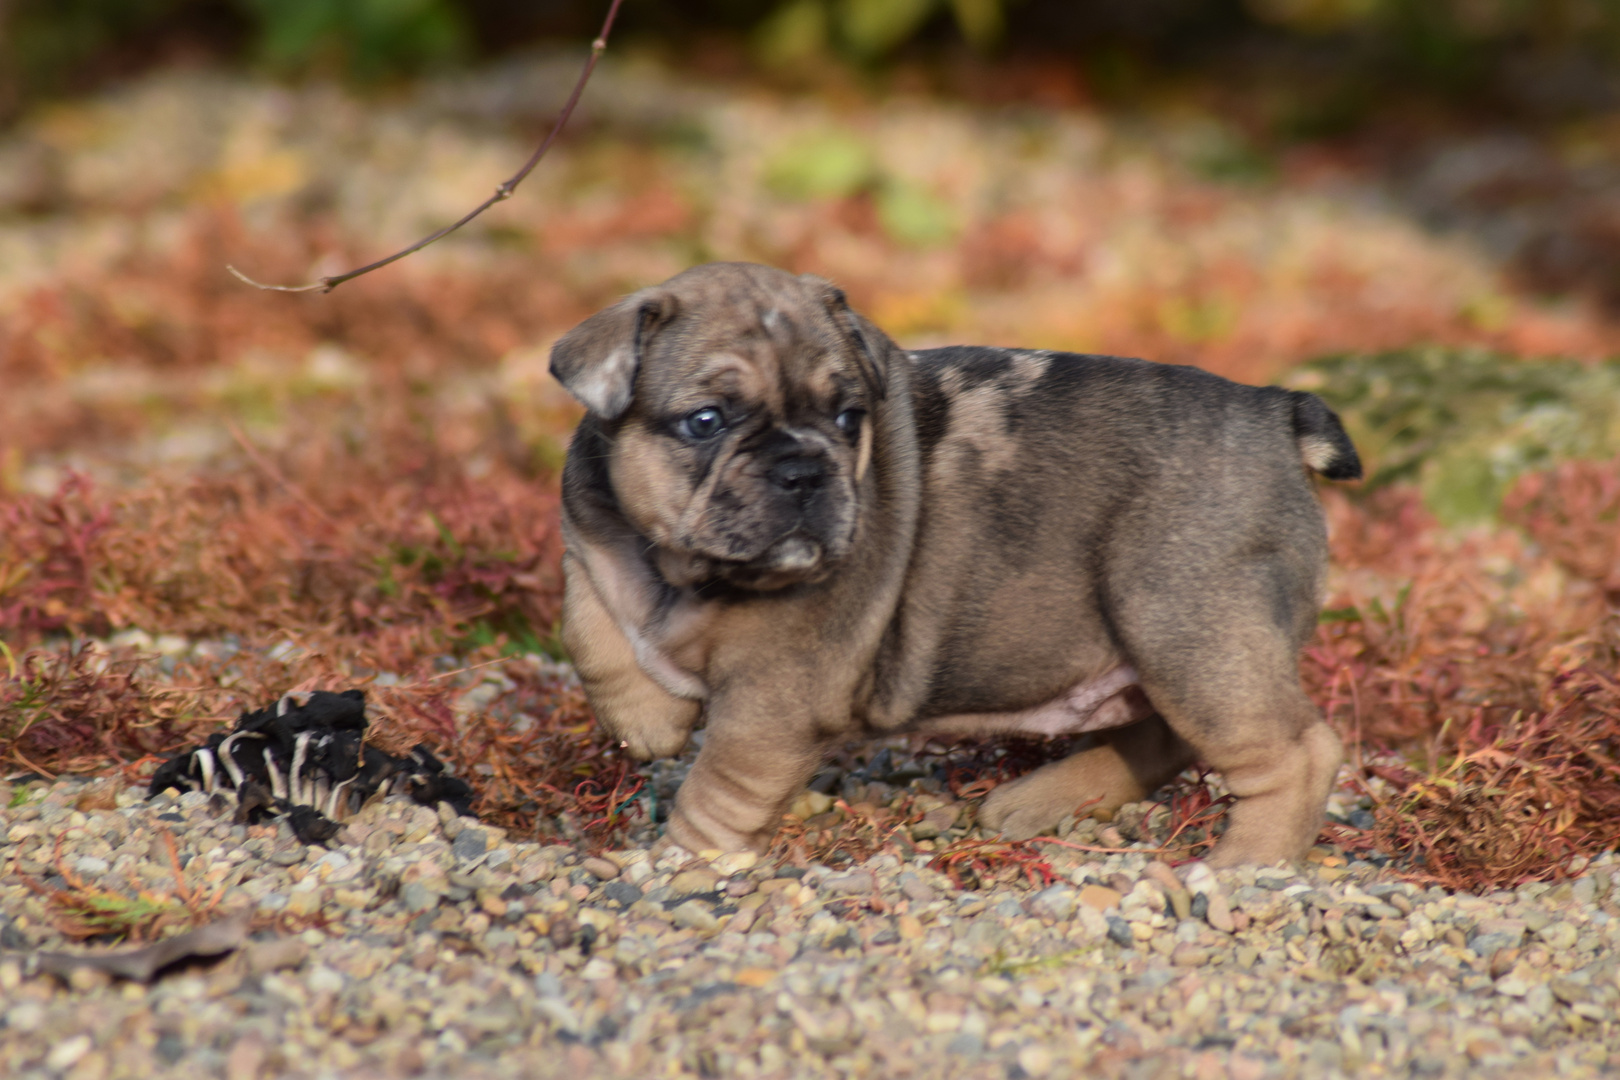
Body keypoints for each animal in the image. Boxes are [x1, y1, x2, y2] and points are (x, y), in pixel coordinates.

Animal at [550, 263, 1360, 867]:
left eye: (847, 419)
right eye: (706, 422)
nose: (804, 470)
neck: (684, 572)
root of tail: (1274, 413)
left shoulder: (775, 695)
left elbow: (721, 786)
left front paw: (681, 861)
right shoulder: (591, 538)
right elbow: (590, 628)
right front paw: (646, 719)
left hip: (1188, 627)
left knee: (1295, 752)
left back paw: (1243, 868)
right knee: (1163, 735)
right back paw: (1036, 801)